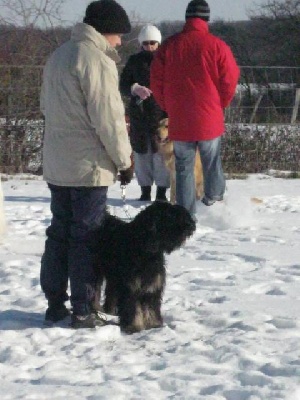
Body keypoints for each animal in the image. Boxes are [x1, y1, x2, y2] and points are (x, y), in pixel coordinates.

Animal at [94, 200, 197, 334]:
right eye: (170, 216)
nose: (191, 224)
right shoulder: (130, 287)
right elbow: (132, 308)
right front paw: (133, 326)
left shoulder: (152, 286)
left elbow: (151, 308)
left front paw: (154, 325)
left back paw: (110, 311)